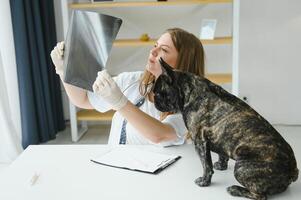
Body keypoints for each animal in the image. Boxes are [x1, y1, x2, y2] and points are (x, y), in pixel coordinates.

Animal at [154, 57, 296, 200]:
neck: (189, 90)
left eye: (157, 93)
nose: (155, 102)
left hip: (241, 168)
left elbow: (206, 165)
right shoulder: (220, 139)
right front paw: (221, 166)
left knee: (259, 195)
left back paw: (235, 189)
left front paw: (204, 182)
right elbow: (221, 154)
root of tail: (293, 172)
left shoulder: (200, 141)